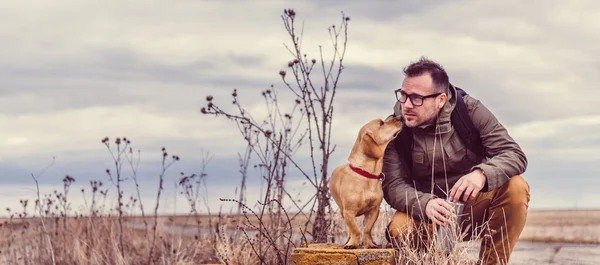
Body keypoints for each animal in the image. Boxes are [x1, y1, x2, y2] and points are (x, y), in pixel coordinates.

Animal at [328, 115, 404, 248]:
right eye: (381, 123)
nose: (399, 116)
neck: (367, 175)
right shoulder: (349, 212)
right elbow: (355, 229)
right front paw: (353, 243)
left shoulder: (374, 210)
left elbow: (367, 229)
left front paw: (369, 243)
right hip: (343, 211)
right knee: (349, 230)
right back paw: (349, 240)